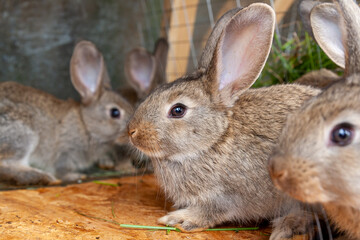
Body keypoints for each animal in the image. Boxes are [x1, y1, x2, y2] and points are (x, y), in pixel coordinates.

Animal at [0, 40, 134, 185]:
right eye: (115, 112)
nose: (131, 131)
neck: (85, 125)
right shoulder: (65, 152)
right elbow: (62, 169)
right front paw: (75, 176)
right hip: (23, 135)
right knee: (6, 164)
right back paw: (43, 176)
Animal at [126, 3, 320, 240]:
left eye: (178, 110)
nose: (132, 131)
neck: (215, 140)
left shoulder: (226, 196)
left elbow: (210, 212)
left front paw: (179, 219)